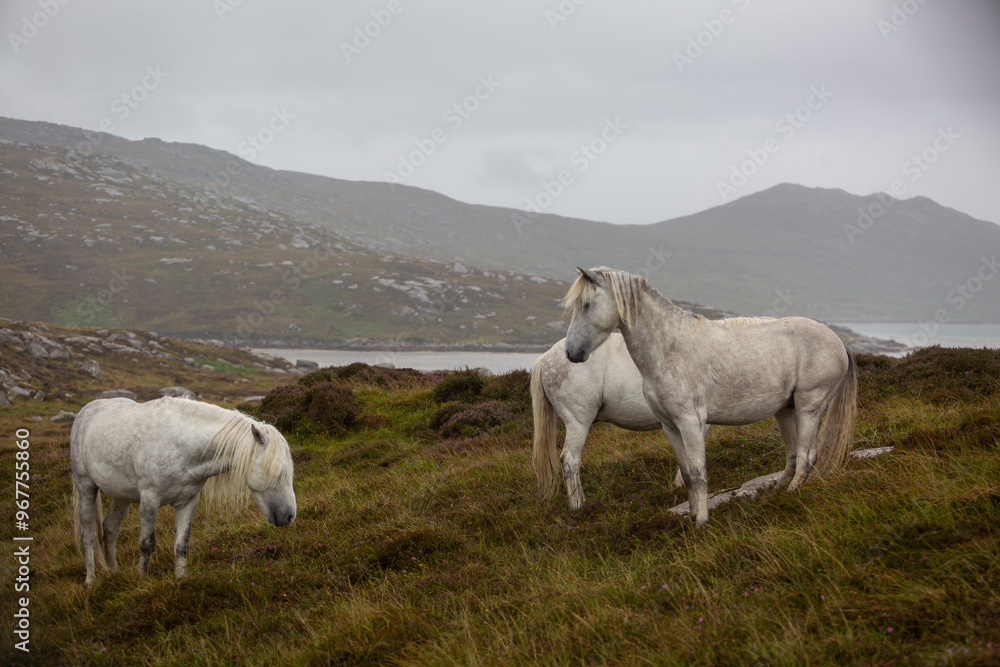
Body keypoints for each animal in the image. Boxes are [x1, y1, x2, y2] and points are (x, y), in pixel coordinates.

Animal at [70, 396, 296, 586]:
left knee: (110, 529)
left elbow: (181, 545)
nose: (288, 516)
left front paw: (181, 581)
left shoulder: (188, 501)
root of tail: (85, 411)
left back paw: (113, 573)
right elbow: (146, 543)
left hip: (121, 496)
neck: (180, 445)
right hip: (86, 486)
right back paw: (90, 581)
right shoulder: (150, 499)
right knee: (88, 534)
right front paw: (141, 579)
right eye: (277, 472)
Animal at [562, 267, 856, 525]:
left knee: (807, 456)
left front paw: (701, 521)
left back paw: (793, 494)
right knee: (793, 455)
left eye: (586, 304)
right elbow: (686, 474)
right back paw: (774, 496)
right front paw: (691, 515)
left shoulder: (691, 423)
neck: (670, 347)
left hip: (809, 408)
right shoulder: (670, 426)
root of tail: (839, 342)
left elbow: (697, 472)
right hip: (785, 410)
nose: (571, 352)